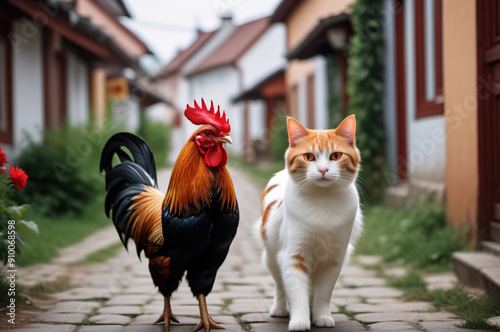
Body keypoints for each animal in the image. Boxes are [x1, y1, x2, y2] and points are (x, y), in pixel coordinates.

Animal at [260, 115, 362, 330]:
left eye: (335, 156)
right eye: (309, 157)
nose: (323, 169)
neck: (322, 201)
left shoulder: (334, 261)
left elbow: (323, 294)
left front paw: (321, 316)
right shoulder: (292, 257)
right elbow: (297, 293)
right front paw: (300, 320)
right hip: (272, 258)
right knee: (280, 285)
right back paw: (280, 309)